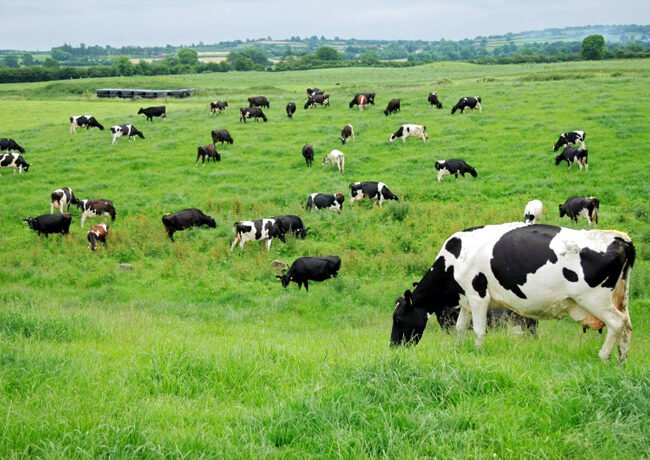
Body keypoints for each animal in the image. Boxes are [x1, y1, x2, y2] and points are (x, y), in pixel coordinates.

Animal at [390, 223, 636, 363]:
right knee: (627, 327)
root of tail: (619, 238)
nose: (393, 347)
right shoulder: (466, 299)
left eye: (398, 319)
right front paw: (457, 350)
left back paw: (603, 357)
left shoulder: (478, 295)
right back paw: (621, 361)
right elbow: (460, 327)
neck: (454, 260)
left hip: (595, 298)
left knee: (616, 323)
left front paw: (477, 353)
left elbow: (478, 330)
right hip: (620, 299)